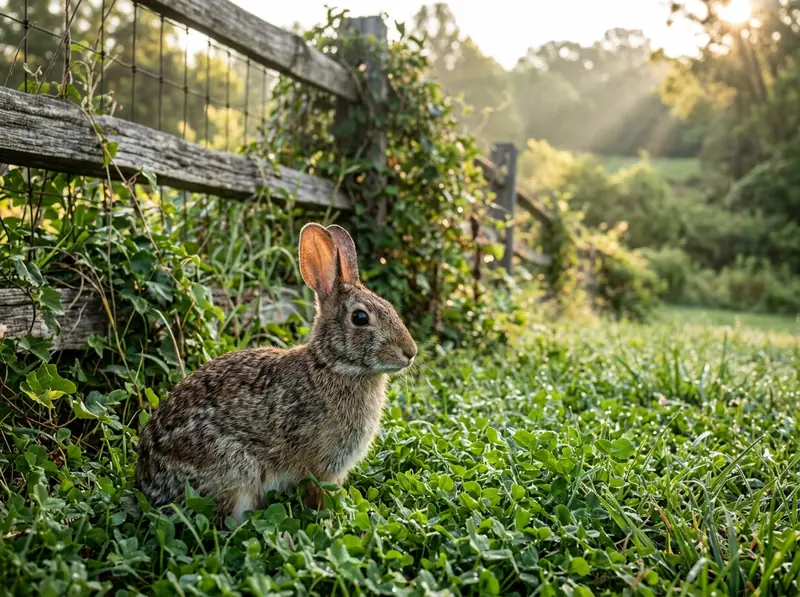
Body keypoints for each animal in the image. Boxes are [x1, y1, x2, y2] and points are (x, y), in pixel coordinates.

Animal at [135, 223, 417, 524]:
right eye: (360, 318)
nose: (410, 352)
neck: (332, 365)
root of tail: (148, 485)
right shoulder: (322, 467)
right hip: (235, 472)